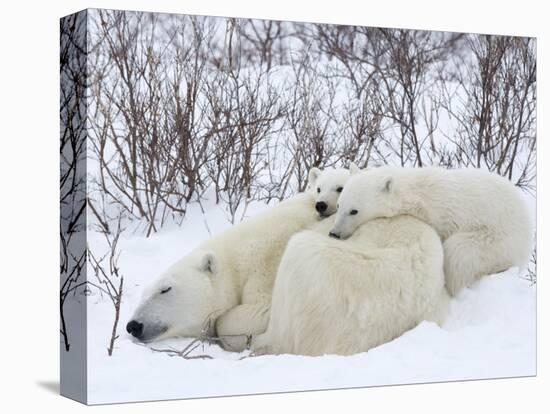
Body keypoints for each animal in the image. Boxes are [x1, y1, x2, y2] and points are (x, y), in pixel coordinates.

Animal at [126, 166, 352, 346]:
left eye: (165, 289)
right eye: (144, 293)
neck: (238, 260)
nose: (133, 325)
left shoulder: (265, 273)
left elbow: (255, 314)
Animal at [328, 167, 536, 296]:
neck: (418, 195)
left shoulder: (445, 216)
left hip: (497, 241)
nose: (334, 233)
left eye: (354, 211)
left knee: (458, 253)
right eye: (339, 205)